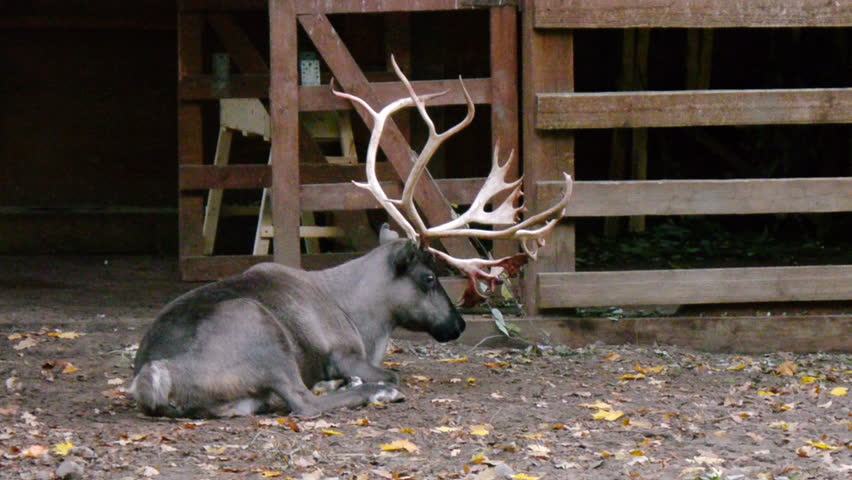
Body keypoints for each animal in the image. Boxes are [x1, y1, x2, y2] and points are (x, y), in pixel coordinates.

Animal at [128, 55, 573, 418]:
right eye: (429, 277)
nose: (458, 325)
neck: (364, 319)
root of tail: (154, 376)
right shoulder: (343, 352)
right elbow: (389, 373)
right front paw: (367, 383)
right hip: (260, 329)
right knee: (303, 402)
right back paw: (371, 392)